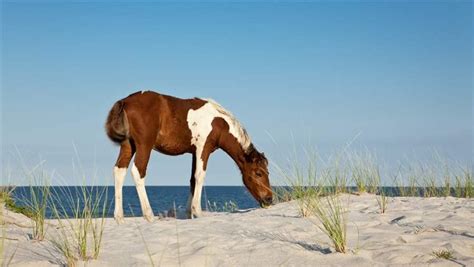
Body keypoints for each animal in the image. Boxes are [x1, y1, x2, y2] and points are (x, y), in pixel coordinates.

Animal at [105, 91, 272, 223]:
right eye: (258, 173)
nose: (269, 198)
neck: (219, 122)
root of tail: (126, 101)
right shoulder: (203, 149)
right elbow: (200, 176)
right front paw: (197, 211)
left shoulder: (193, 152)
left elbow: (192, 179)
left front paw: (188, 214)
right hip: (144, 145)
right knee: (138, 172)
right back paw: (149, 215)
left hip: (128, 145)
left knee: (119, 171)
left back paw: (119, 218)